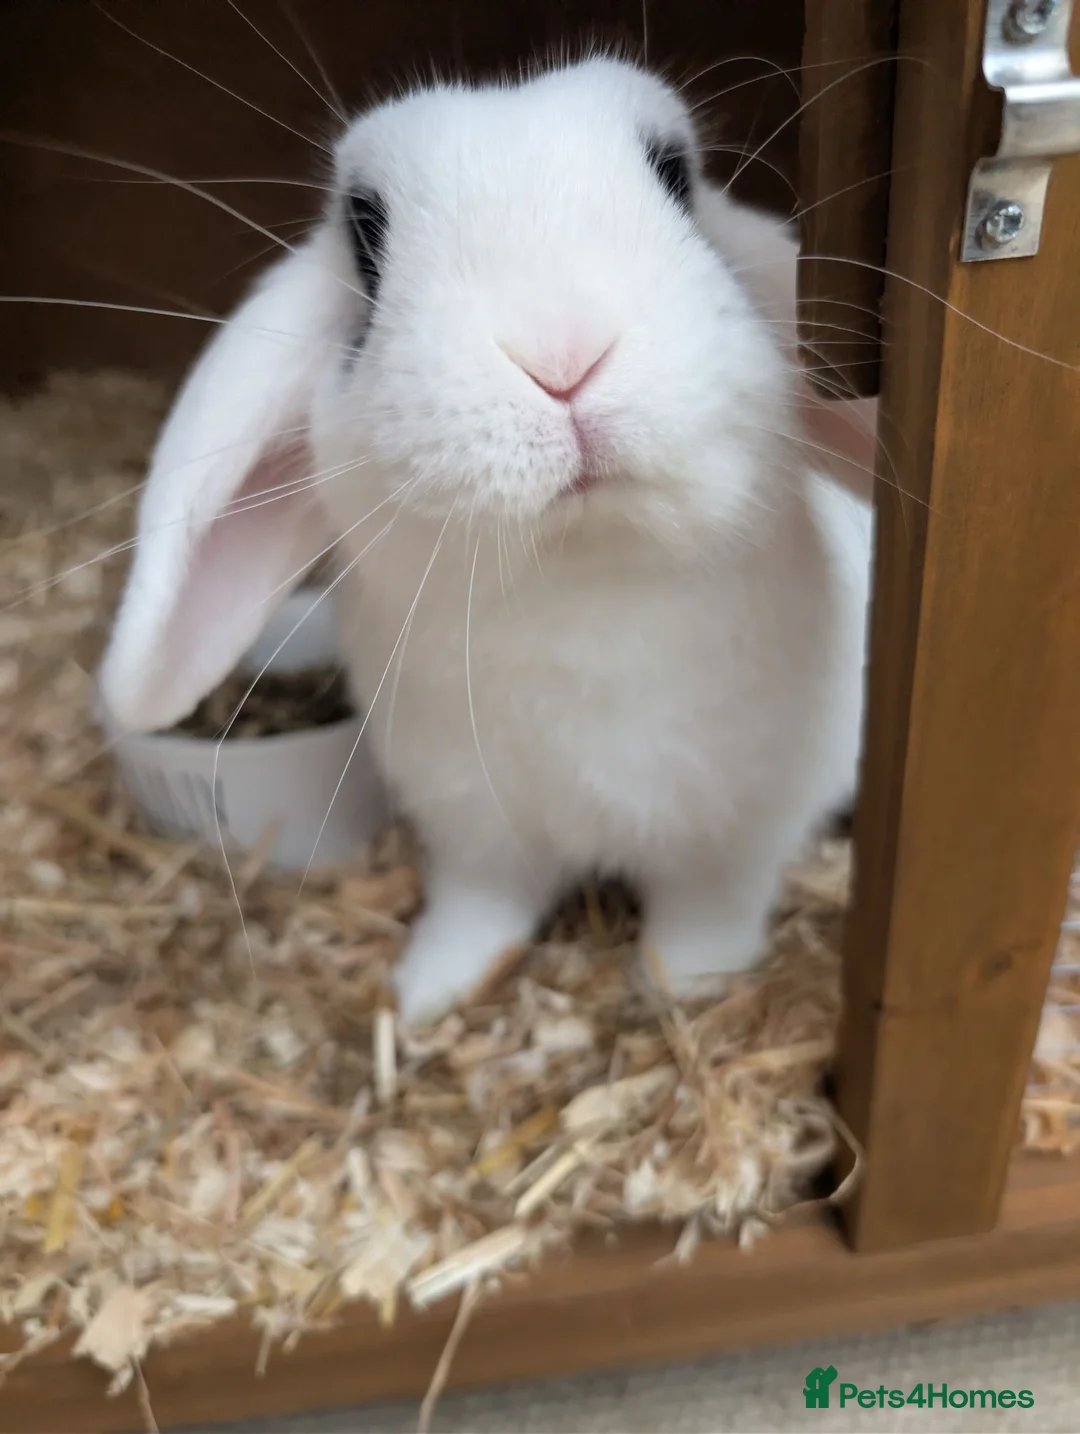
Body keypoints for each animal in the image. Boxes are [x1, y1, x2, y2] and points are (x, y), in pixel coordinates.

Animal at [99, 56, 875, 1025]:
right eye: (367, 231)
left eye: (674, 176)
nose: (563, 354)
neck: (579, 577)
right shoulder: (475, 828)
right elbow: (481, 907)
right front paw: (426, 992)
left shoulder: (738, 834)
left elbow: (708, 908)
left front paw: (686, 984)